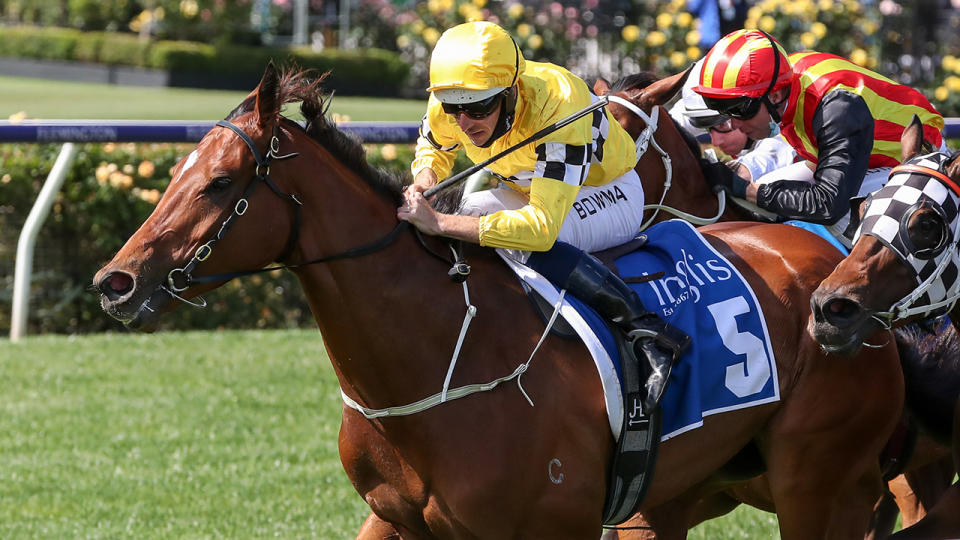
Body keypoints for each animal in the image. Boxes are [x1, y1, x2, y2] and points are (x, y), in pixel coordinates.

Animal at [94, 65, 904, 536]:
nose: (115, 281)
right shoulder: (397, 522)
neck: (434, 365)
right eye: (177, 170)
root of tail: (834, 270)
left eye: (219, 183)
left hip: (815, 480)